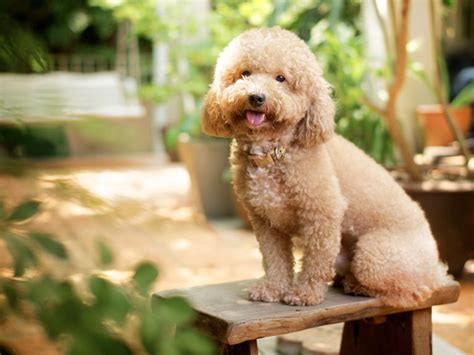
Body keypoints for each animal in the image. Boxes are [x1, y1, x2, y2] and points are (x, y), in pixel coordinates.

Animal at [202, 26, 450, 308]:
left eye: (281, 78)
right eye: (244, 73)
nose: (256, 97)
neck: (274, 152)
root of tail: (437, 268)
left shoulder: (322, 215)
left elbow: (316, 262)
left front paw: (304, 294)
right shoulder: (265, 221)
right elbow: (274, 260)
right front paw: (272, 289)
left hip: (374, 255)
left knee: (411, 289)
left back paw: (360, 286)